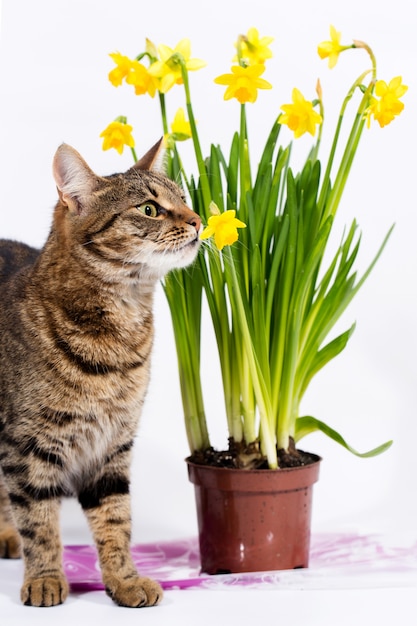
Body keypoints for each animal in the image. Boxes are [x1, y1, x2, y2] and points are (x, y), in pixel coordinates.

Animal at [0, 140, 202, 604]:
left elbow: (115, 520)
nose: (199, 220)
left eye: (183, 198)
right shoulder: (27, 447)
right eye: (149, 209)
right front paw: (44, 579)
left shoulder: (113, 445)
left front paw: (124, 580)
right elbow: (39, 521)